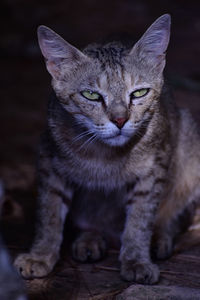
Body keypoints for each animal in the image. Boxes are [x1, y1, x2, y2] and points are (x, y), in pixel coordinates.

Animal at [13, 14, 200, 284]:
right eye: (91, 95)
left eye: (139, 92)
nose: (120, 120)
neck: (104, 155)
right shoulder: (49, 159)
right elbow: (48, 213)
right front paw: (40, 255)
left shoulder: (154, 169)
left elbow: (140, 219)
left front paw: (136, 259)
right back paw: (90, 240)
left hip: (189, 144)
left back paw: (158, 237)